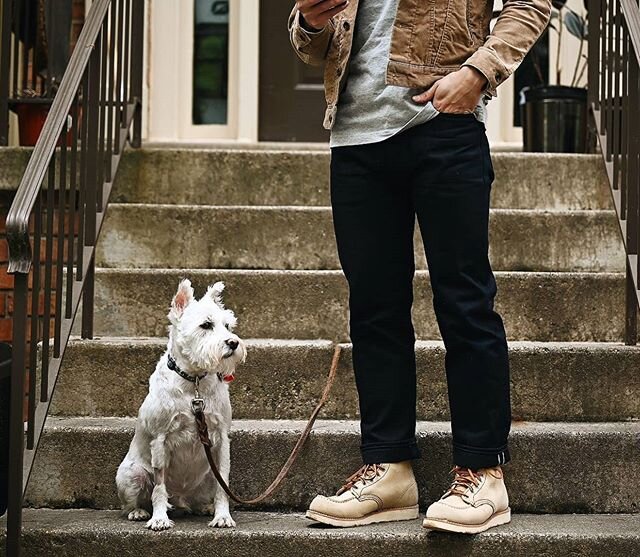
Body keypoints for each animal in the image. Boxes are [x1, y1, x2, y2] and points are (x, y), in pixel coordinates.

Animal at [115, 278, 245, 528]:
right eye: (206, 325)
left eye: (228, 325)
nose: (233, 343)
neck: (193, 381)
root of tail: (181, 498)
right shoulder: (160, 440)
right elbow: (159, 487)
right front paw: (159, 518)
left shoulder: (221, 438)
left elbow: (223, 485)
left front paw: (223, 516)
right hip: (131, 473)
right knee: (137, 499)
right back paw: (139, 512)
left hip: (207, 475)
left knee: (205, 494)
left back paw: (205, 507)